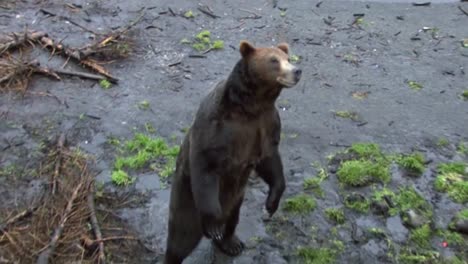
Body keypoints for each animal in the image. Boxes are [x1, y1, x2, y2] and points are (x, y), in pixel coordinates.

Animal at [164, 39, 304, 264]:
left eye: (288, 58)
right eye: (274, 60)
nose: (297, 71)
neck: (250, 107)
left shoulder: (266, 125)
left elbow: (270, 161)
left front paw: (271, 204)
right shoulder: (215, 126)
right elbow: (206, 165)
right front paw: (214, 225)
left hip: (237, 199)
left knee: (232, 220)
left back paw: (231, 243)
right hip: (186, 201)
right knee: (180, 238)